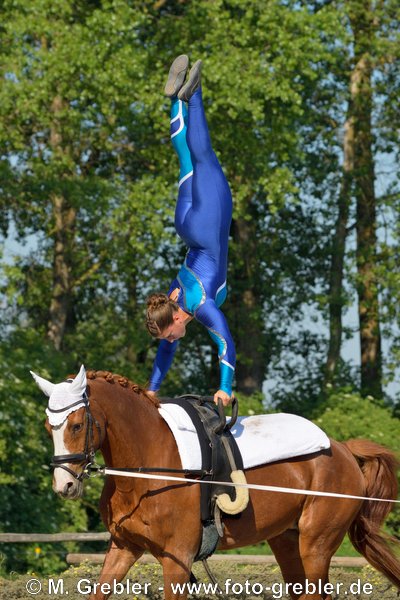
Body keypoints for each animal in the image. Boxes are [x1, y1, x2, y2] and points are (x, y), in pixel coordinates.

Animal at [38, 370, 400, 600]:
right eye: (48, 425)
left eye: (77, 424)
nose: (64, 485)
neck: (145, 473)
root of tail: (343, 449)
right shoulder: (124, 548)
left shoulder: (177, 560)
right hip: (286, 541)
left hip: (316, 544)